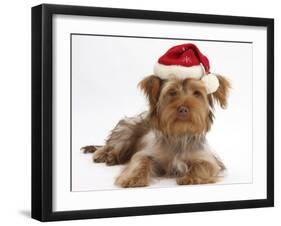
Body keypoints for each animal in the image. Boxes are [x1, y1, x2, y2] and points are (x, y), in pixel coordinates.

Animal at [81, 73, 230, 187]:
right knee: (111, 145)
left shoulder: (207, 157)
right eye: (172, 92)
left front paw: (191, 178)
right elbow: (141, 161)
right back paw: (105, 155)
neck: (179, 134)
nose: (183, 109)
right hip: (126, 131)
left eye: (197, 93)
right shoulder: (147, 153)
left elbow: (205, 165)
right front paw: (133, 178)